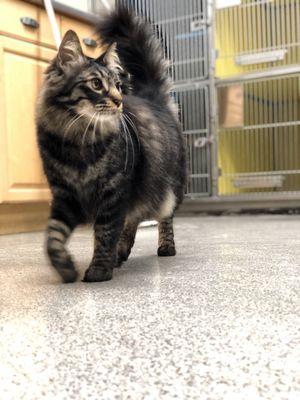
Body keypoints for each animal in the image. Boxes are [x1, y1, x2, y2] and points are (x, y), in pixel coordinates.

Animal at [36, 5, 186, 282]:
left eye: (117, 86)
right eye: (96, 84)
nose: (119, 101)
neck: (79, 141)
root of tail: (152, 98)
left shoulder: (114, 193)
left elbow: (105, 234)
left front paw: (98, 271)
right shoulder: (64, 196)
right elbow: (52, 237)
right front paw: (65, 267)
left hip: (169, 188)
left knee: (164, 217)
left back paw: (164, 248)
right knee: (134, 220)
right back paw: (122, 254)